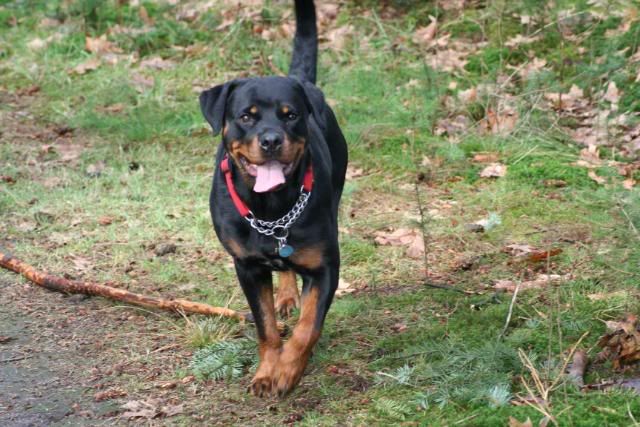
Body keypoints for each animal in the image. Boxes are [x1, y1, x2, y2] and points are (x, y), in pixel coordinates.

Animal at [201, 0, 348, 400]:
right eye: (246, 116)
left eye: (290, 115)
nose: (270, 139)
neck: (273, 210)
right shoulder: (247, 267)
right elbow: (264, 326)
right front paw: (268, 370)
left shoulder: (325, 266)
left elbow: (308, 327)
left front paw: (287, 371)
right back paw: (285, 295)